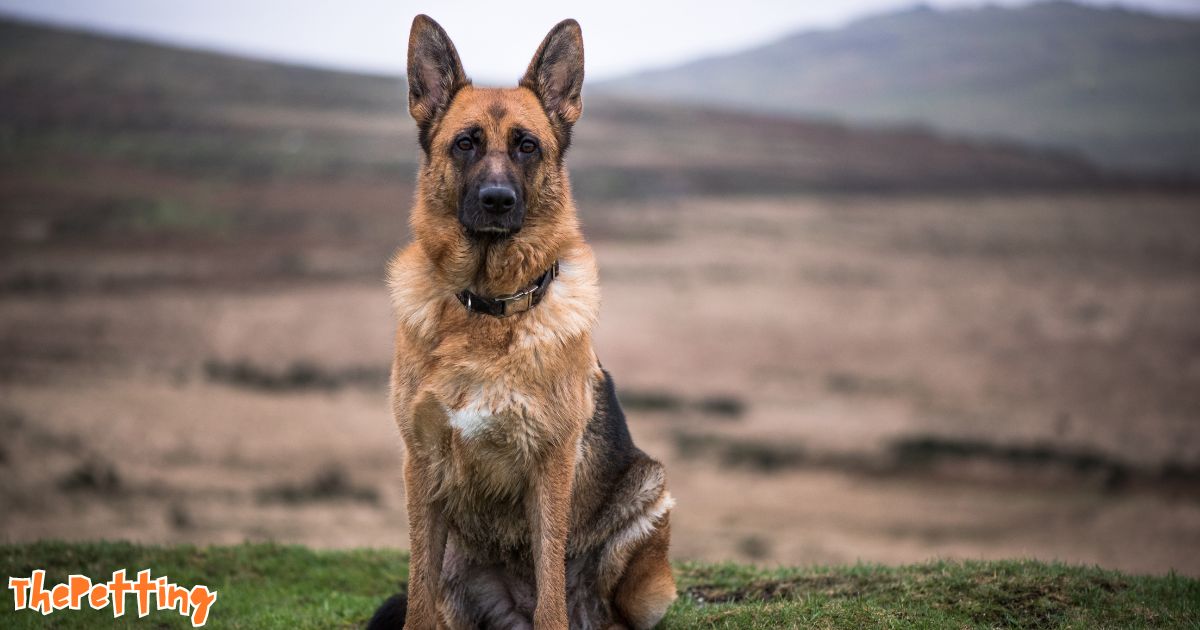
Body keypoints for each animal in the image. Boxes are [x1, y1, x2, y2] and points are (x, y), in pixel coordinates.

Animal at [367, 14, 676, 628]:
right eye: (465, 143)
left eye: (527, 146)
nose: (496, 200)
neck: (487, 306)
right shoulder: (421, 466)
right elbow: (416, 591)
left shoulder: (550, 465)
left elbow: (551, 583)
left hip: (647, 504)